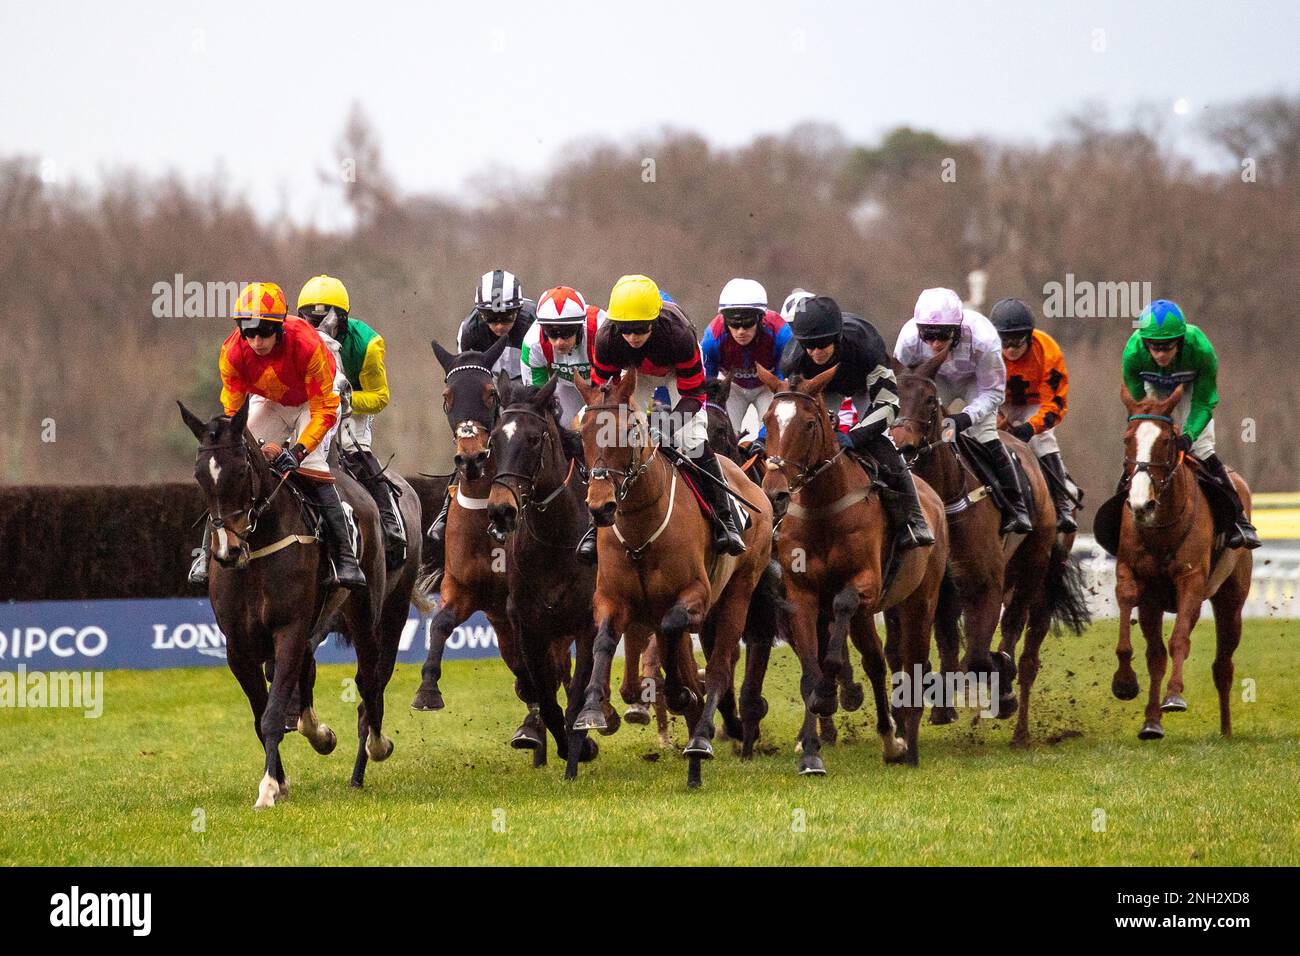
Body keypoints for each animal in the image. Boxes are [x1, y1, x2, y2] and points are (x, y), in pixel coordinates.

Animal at [175, 403, 421, 806]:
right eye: (199, 476)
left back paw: (372, 749)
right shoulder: (238, 645)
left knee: (369, 680)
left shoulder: (289, 629)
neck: (258, 547)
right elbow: (261, 712)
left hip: (376, 611)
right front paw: (281, 777)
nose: (227, 551)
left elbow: (273, 712)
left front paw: (268, 788)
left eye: (241, 471)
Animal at [572, 369, 780, 790]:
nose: (600, 506)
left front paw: (681, 695)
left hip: (738, 593)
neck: (640, 529)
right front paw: (594, 711)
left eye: (628, 431)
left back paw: (701, 737)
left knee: (719, 666)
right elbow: (605, 641)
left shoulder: (694, 595)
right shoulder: (612, 598)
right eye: (583, 433)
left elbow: (673, 634)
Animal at [754, 364, 946, 770]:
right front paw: (810, 740)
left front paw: (832, 694)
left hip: (919, 600)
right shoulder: (801, 595)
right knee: (873, 660)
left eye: (810, 424)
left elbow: (842, 609)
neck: (823, 509)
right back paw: (888, 737)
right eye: (768, 421)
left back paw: (907, 743)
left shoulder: (866, 585)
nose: (775, 492)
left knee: (911, 660)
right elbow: (811, 666)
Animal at [883, 348, 1086, 743]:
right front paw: (937, 700)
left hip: (1036, 570)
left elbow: (978, 657)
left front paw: (1000, 685)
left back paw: (1018, 723)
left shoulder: (986, 583)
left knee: (1021, 640)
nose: (902, 445)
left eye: (930, 399)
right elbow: (937, 647)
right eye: (890, 399)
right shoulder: (939, 587)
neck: (947, 497)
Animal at [1107, 387, 1248, 738]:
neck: (1161, 529)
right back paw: (1151, 722)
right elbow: (1128, 605)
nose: (1140, 503)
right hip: (1156, 603)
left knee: (1223, 664)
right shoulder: (1132, 574)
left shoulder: (1191, 581)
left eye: (1166, 441)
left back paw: (1226, 730)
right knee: (1156, 655)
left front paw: (1174, 696)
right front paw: (1125, 682)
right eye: (1127, 439)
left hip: (1231, 601)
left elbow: (1180, 639)